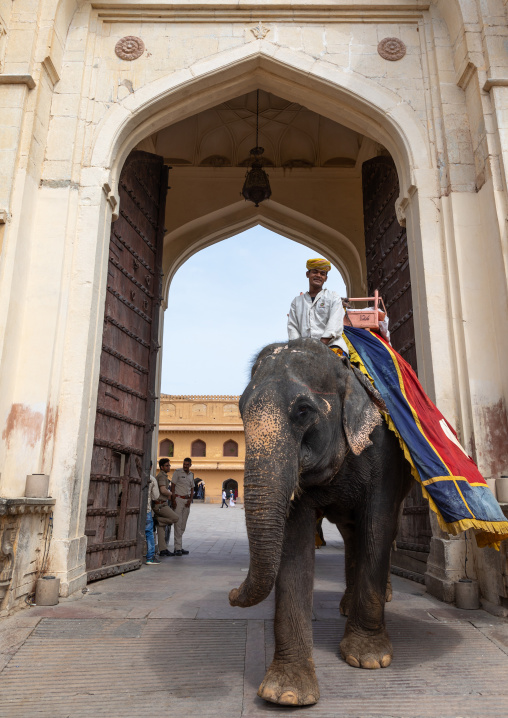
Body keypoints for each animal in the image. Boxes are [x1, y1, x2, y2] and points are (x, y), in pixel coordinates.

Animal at [229, 338, 413, 706]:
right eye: (241, 410)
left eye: (303, 411)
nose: (230, 593)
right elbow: (294, 542)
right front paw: (285, 694)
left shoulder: (384, 452)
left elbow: (378, 525)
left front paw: (369, 659)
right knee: (352, 534)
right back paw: (345, 606)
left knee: (381, 531)